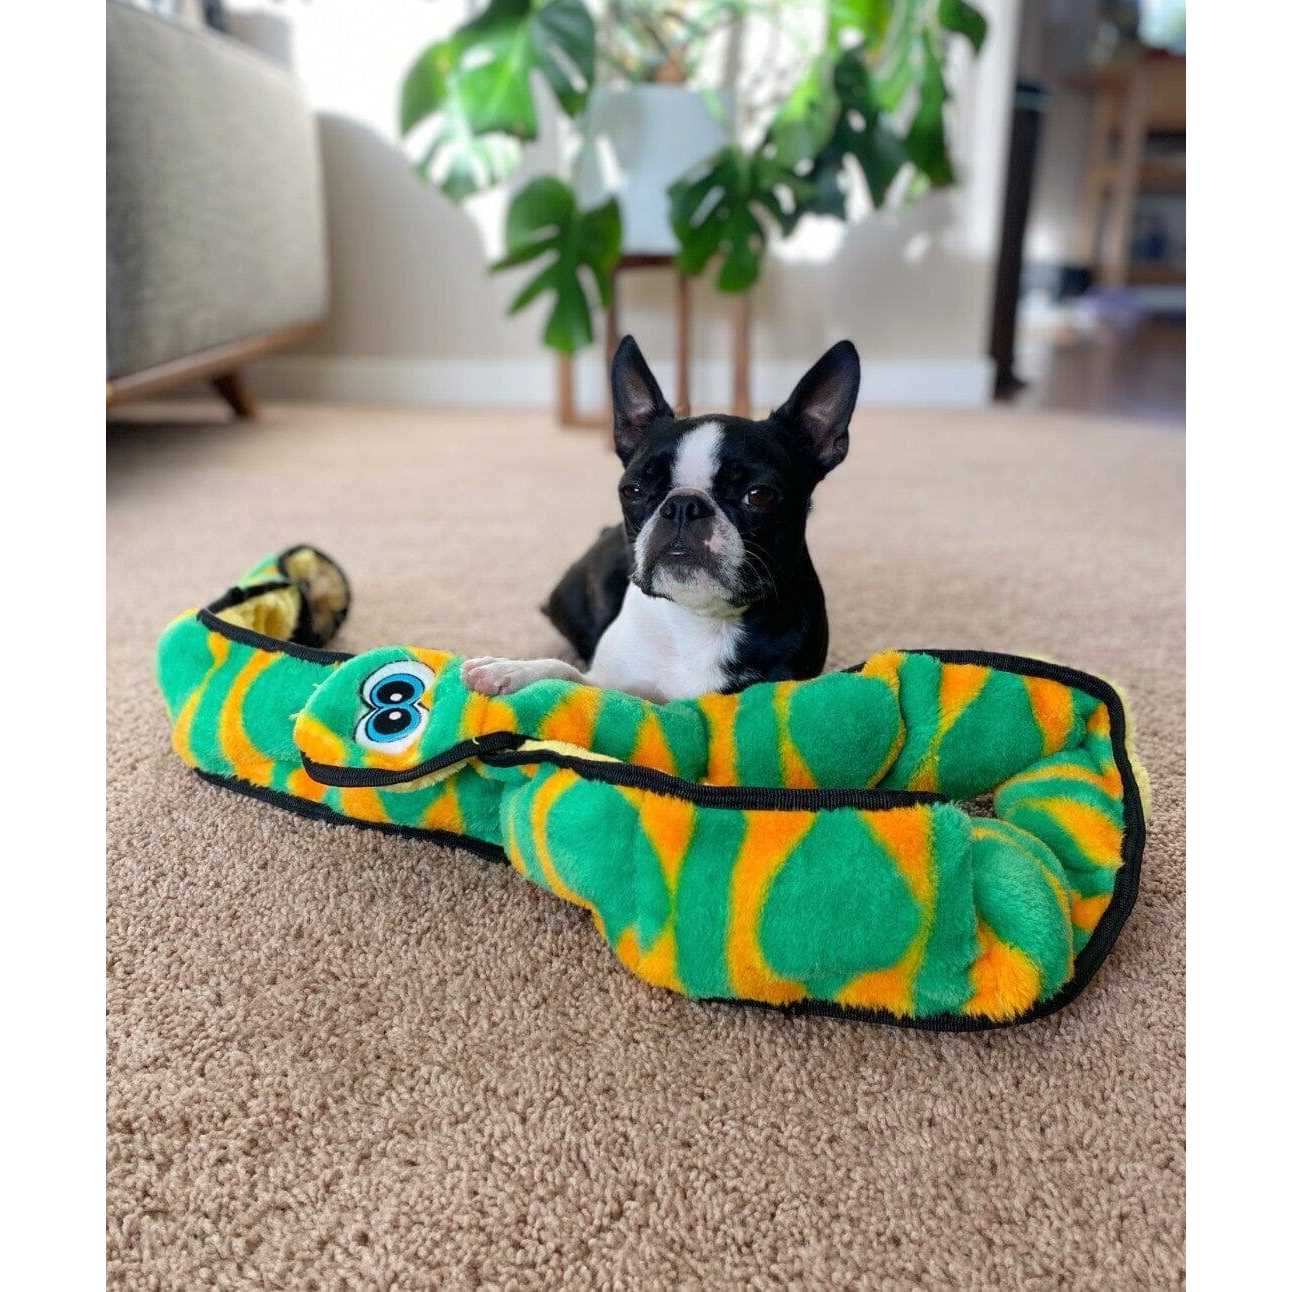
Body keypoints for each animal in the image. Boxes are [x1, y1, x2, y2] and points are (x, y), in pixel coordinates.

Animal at [463, 334, 860, 702]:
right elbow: (567, 671)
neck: (698, 620)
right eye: (633, 490)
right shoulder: (606, 681)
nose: (683, 505)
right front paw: (508, 669)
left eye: (759, 496)